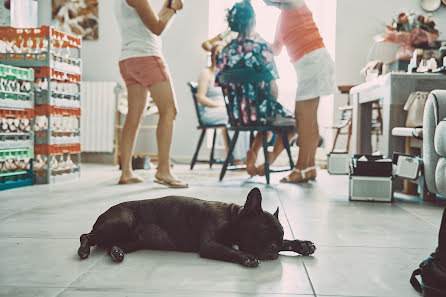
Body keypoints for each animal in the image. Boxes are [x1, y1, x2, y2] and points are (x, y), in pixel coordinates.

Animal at [77, 187, 314, 266]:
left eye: (280, 235)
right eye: (263, 232)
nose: (273, 248)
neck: (233, 218)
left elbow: (289, 243)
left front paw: (302, 245)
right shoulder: (210, 245)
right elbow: (230, 250)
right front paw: (246, 257)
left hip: (134, 240)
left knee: (112, 245)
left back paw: (116, 252)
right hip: (122, 221)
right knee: (86, 235)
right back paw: (84, 250)